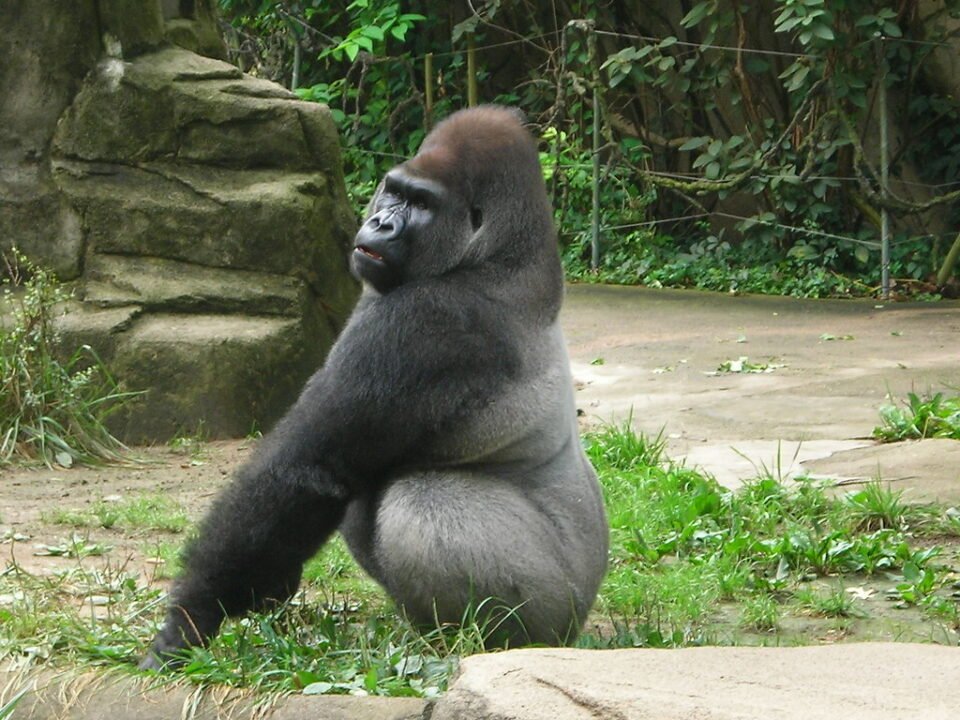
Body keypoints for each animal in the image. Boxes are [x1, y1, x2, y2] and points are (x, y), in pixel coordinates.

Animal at [140, 105, 608, 670]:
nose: (381, 222)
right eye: (394, 191)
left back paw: (481, 642)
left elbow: (307, 466)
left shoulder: (423, 321)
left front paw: (189, 617)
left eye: (422, 204)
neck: (500, 254)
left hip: (556, 609)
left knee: (422, 501)